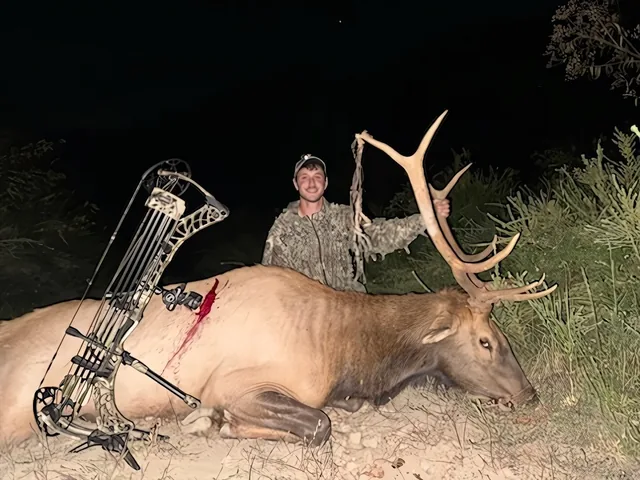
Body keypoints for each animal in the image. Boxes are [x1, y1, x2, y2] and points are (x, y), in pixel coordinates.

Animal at [0, 110, 556, 453]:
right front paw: (211, 424)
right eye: (485, 341)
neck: (344, 350)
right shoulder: (233, 384)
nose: (530, 394)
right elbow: (319, 424)